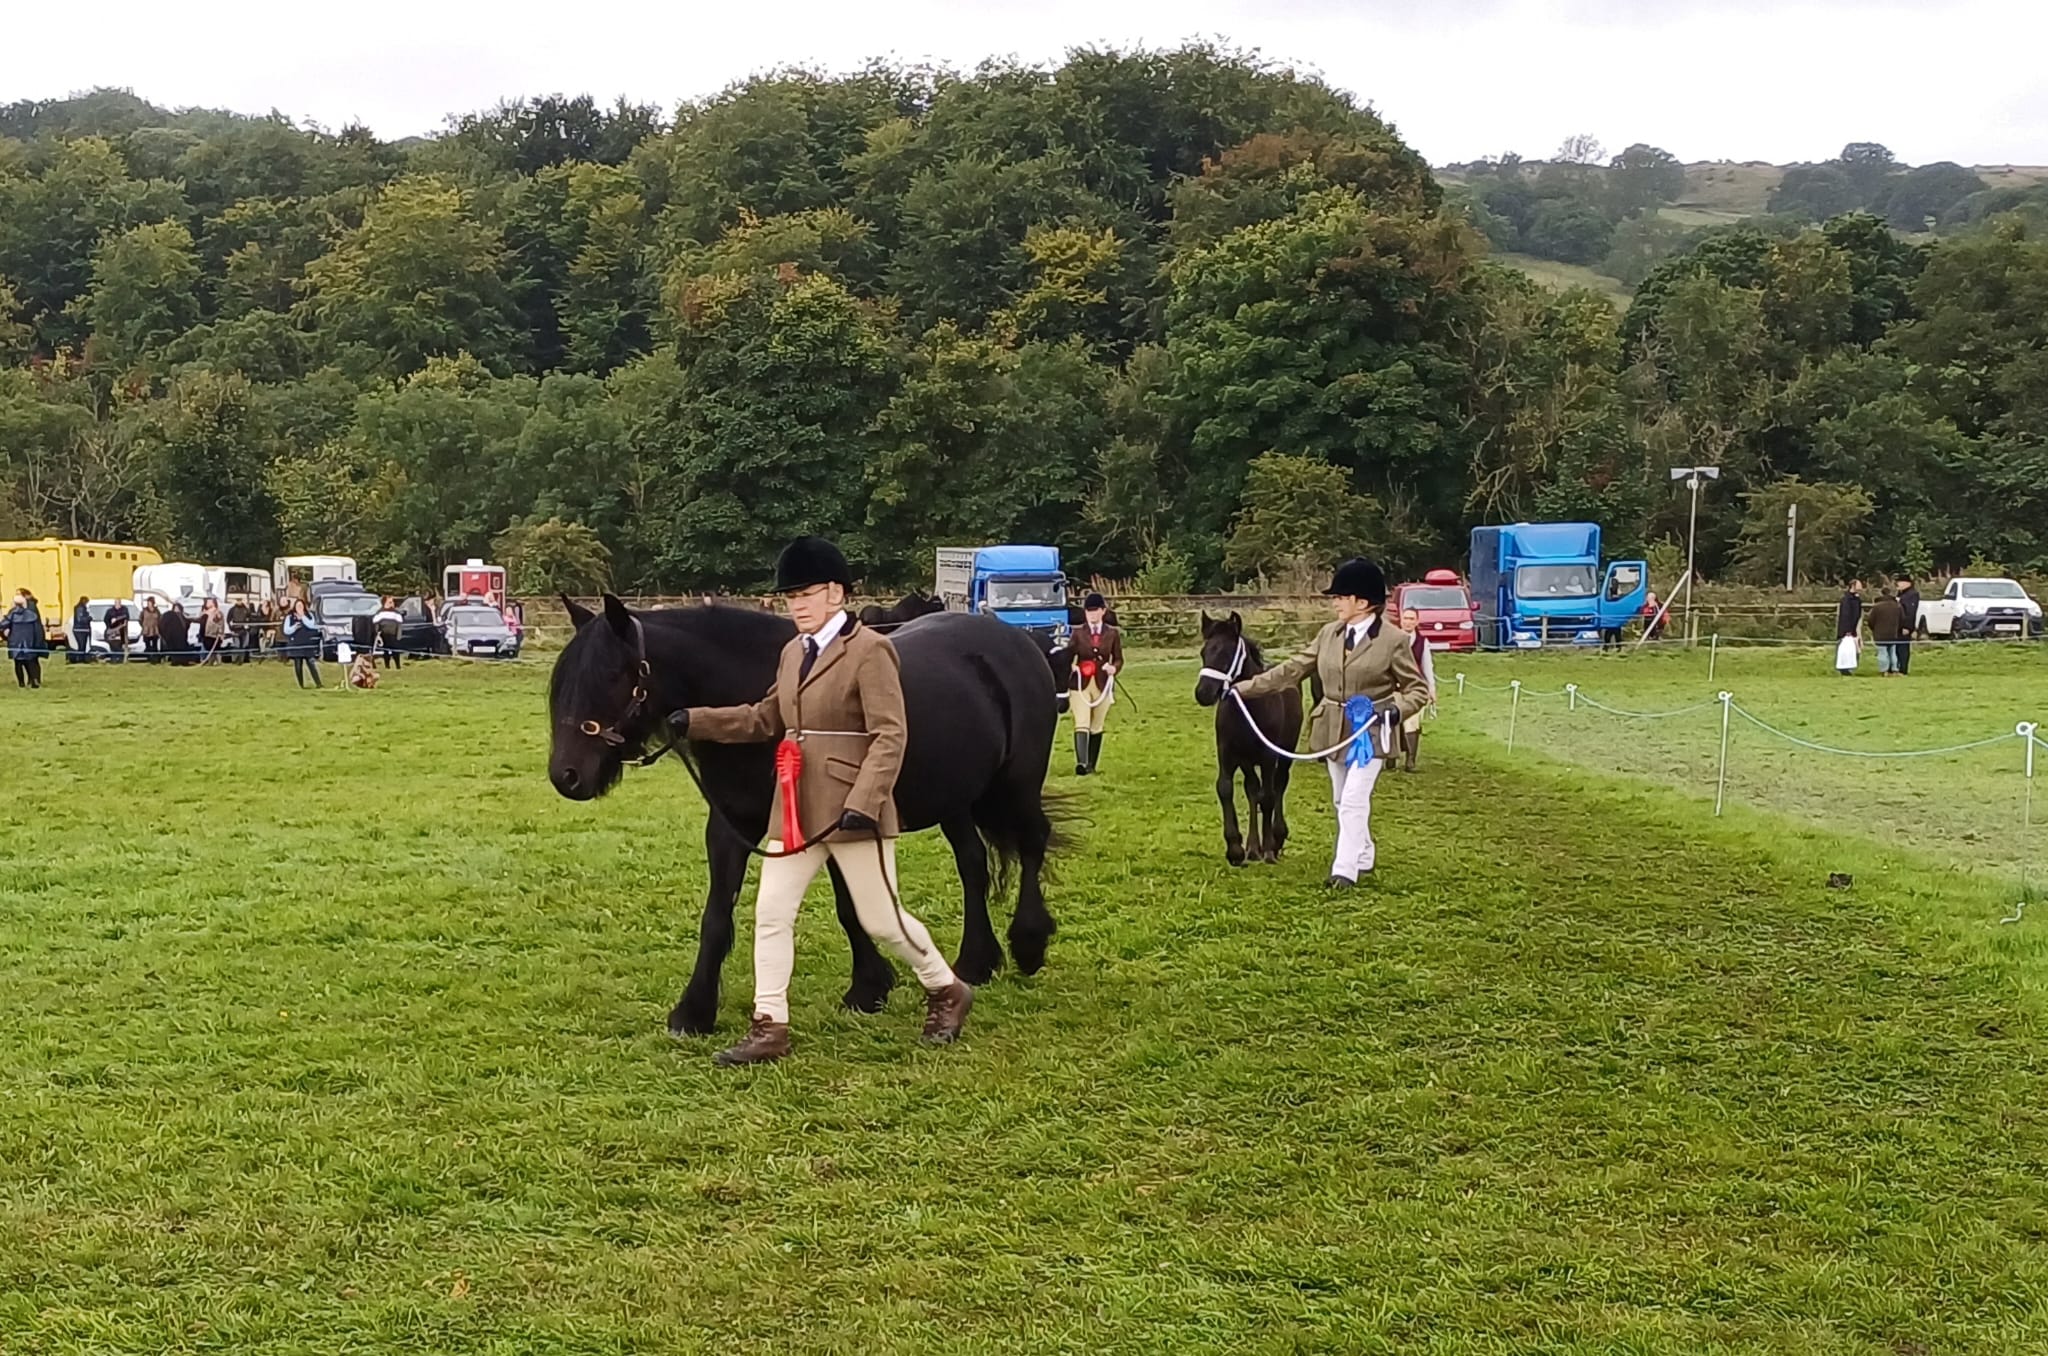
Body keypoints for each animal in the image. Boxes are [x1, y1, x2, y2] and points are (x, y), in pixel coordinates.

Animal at [548, 602, 1056, 1036]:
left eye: (612, 675)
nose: (565, 776)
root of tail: (1016, 639)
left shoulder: (833, 821)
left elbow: (851, 907)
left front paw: (868, 988)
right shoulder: (732, 827)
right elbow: (718, 916)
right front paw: (694, 1011)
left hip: (1018, 782)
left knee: (1033, 843)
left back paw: (1028, 945)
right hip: (956, 798)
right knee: (973, 865)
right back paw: (977, 962)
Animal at [1196, 614, 1302, 872]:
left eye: (1227, 653)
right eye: (1204, 652)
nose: (1203, 693)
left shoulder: (1268, 756)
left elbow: (1269, 797)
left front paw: (1269, 851)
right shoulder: (1228, 753)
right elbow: (1225, 788)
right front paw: (1235, 849)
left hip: (1284, 754)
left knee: (1278, 786)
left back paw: (1275, 840)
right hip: (1247, 761)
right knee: (1253, 790)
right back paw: (1253, 848)